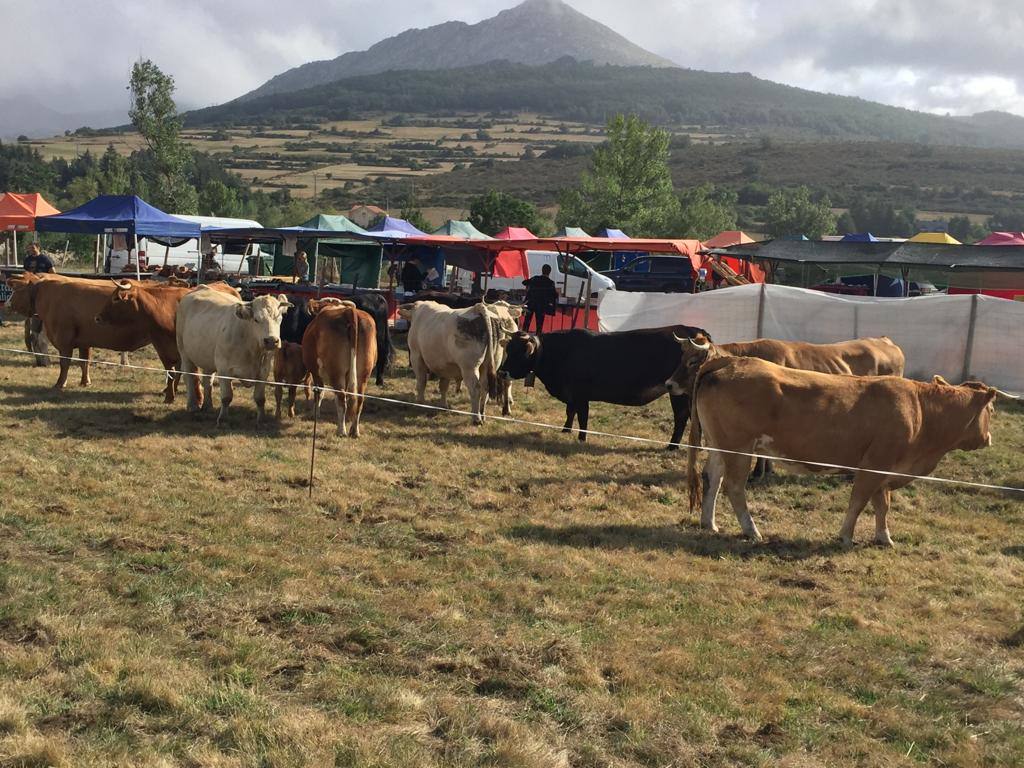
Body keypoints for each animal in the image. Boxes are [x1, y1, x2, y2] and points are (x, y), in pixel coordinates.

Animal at [94, 280, 239, 403]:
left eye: (116, 298)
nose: (98, 318)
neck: (166, 312)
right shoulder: (162, 348)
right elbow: (171, 373)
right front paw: (169, 396)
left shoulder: (185, 350)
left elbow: (190, 374)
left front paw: (198, 398)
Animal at [176, 286, 292, 428]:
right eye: (256, 319)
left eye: (279, 318)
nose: (271, 341)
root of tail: (200, 287)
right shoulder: (224, 369)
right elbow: (226, 397)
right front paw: (222, 419)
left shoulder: (264, 371)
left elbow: (260, 398)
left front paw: (261, 420)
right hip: (184, 351)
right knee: (189, 376)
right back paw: (192, 406)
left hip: (209, 358)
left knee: (207, 380)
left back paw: (208, 406)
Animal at [301, 299, 378, 436]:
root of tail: (349, 312)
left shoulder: (316, 372)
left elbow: (319, 392)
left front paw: (315, 414)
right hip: (363, 374)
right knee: (358, 399)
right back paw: (354, 430)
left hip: (336, 372)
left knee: (341, 398)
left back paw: (341, 430)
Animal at [497, 325, 708, 448]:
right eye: (508, 349)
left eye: (520, 352)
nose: (501, 372)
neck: (562, 351)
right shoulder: (572, 394)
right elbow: (570, 412)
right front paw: (566, 430)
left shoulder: (581, 394)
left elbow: (582, 415)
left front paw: (581, 438)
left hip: (678, 392)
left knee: (681, 417)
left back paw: (672, 446)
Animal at [667, 354, 995, 548]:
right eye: (991, 409)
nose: (989, 438)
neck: (922, 410)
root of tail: (730, 360)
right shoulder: (874, 465)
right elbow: (859, 501)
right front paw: (846, 537)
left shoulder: (883, 469)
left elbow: (882, 505)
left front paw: (884, 537)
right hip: (739, 447)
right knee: (734, 486)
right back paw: (751, 530)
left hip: (720, 444)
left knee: (712, 478)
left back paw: (709, 523)